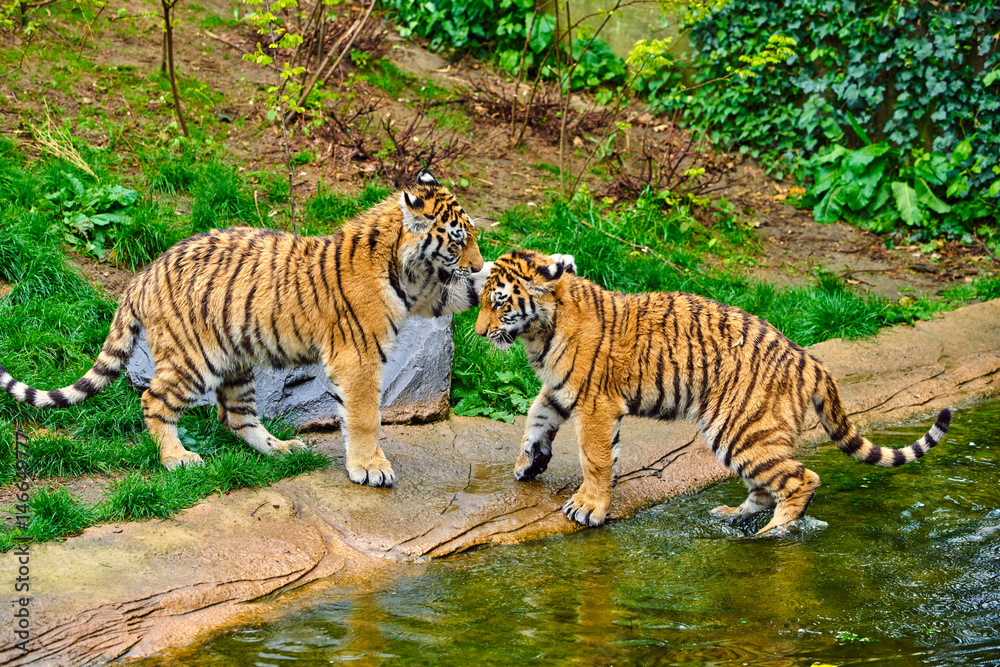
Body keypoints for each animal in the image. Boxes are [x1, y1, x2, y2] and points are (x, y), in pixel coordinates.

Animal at [0, 169, 488, 487]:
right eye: (459, 240)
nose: (478, 263)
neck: (408, 270)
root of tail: (143, 274)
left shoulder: (428, 293)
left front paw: (499, 279)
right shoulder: (360, 358)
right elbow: (366, 416)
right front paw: (372, 468)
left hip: (235, 361)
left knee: (236, 417)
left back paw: (282, 449)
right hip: (194, 360)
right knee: (153, 400)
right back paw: (178, 459)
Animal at [474, 249, 952, 534]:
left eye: (499, 301)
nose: (477, 333)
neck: (540, 332)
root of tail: (809, 358)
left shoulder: (595, 404)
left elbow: (594, 458)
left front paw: (588, 507)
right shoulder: (560, 389)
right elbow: (536, 418)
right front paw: (529, 464)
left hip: (740, 429)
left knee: (802, 479)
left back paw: (773, 533)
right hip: (746, 434)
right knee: (766, 487)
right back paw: (731, 516)